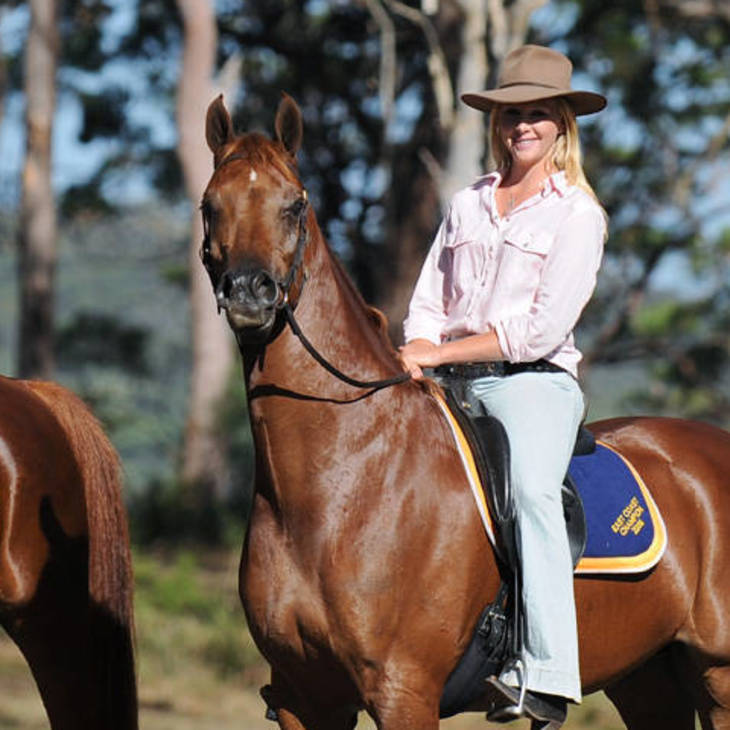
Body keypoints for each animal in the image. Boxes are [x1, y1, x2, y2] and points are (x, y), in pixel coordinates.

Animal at [199, 92, 730, 730]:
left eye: (295, 205)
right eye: (210, 205)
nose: (247, 292)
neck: (337, 489)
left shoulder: (404, 691)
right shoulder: (304, 698)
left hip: (718, 674)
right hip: (648, 676)